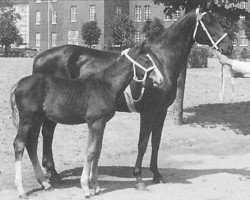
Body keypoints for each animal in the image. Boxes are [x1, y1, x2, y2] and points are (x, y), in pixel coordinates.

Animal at [10, 41, 161, 198]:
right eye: (146, 60)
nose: (160, 79)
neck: (106, 85)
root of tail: (18, 84)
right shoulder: (94, 122)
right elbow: (90, 151)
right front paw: (86, 187)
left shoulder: (102, 123)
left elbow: (97, 150)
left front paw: (96, 186)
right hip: (27, 119)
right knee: (19, 144)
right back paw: (21, 190)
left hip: (37, 118)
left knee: (31, 144)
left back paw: (45, 184)